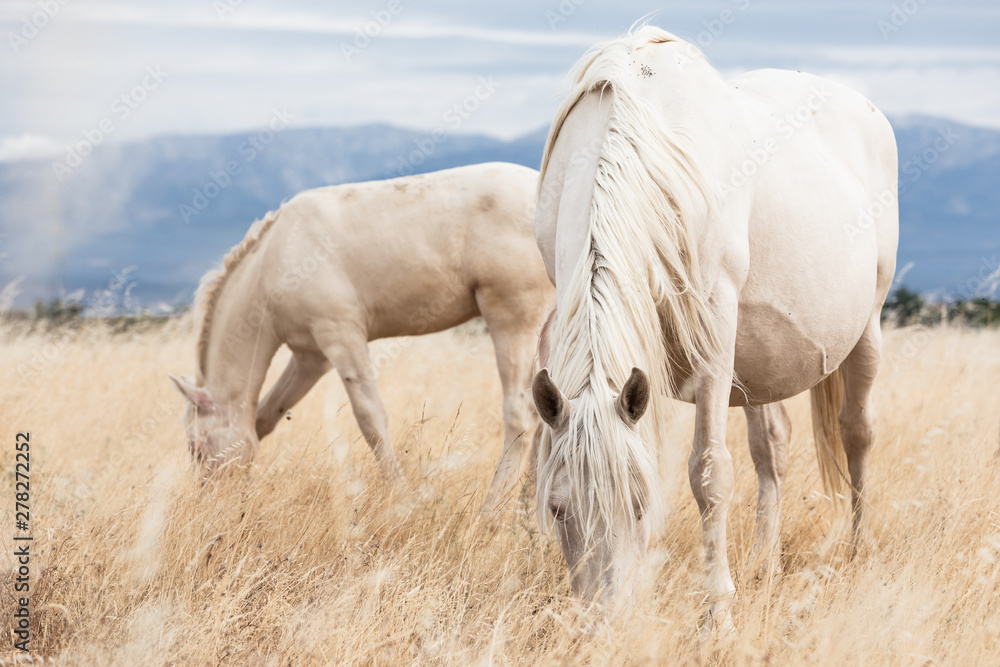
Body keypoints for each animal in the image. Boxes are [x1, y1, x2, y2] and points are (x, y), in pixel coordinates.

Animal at [169, 162, 554, 510]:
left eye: (196, 446)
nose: (207, 500)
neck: (276, 260)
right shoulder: (310, 358)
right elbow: (265, 417)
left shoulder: (341, 335)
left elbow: (371, 419)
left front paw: (401, 496)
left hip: (513, 319)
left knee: (520, 414)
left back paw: (493, 509)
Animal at [531, 27, 898, 633]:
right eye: (558, 508)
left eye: (639, 503)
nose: (604, 624)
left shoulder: (716, 330)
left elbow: (709, 471)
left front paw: (717, 611)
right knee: (772, 448)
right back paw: (765, 564)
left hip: (867, 324)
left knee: (858, 433)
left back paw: (860, 551)